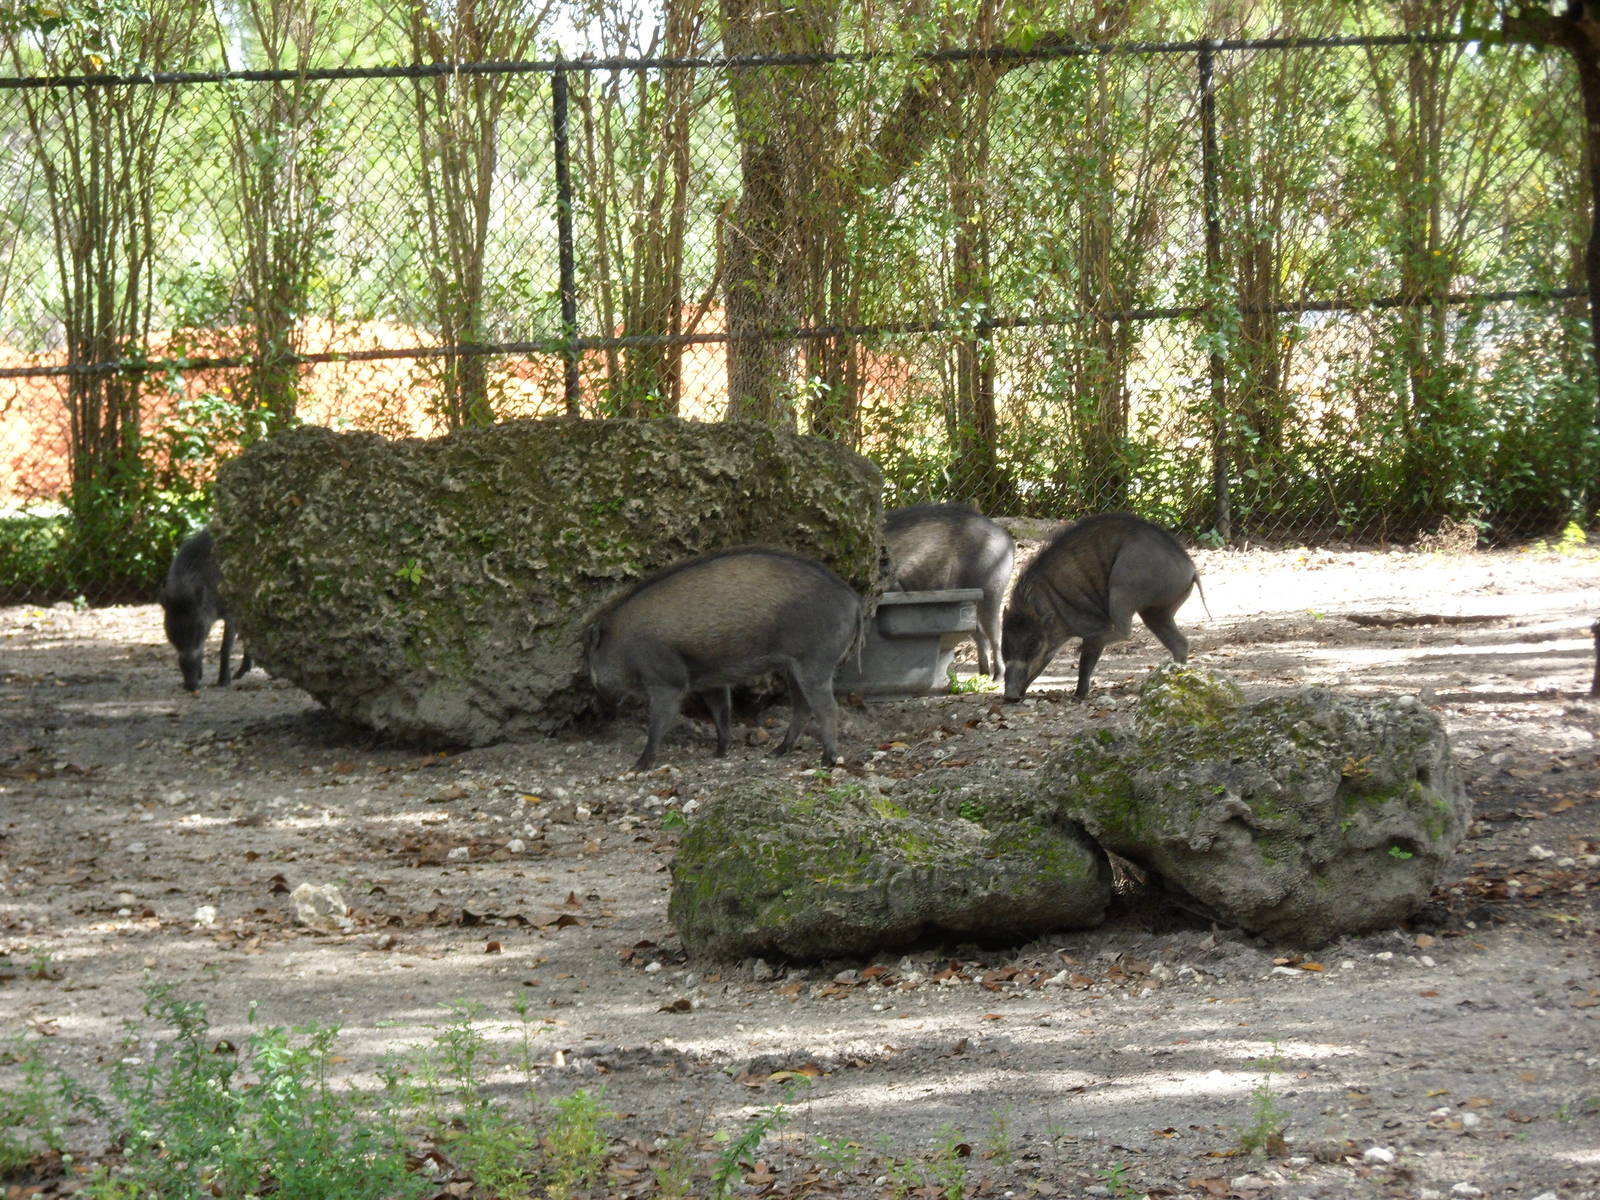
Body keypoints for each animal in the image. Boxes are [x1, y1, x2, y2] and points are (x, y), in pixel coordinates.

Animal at [159, 528, 251, 693]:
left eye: (198, 630)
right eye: (171, 634)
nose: (190, 686)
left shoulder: (230, 614)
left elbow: (225, 648)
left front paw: (223, 682)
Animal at [584, 547, 863, 770]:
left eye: (590, 657)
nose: (596, 709)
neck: (624, 646)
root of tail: (853, 600)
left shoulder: (667, 681)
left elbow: (659, 724)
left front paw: (638, 766)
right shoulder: (712, 681)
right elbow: (722, 711)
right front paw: (719, 752)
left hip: (815, 663)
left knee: (827, 709)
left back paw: (827, 760)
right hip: (793, 669)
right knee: (802, 707)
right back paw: (777, 752)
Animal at [884, 502, 1015, 679]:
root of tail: (1008, 542)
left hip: (991, 591)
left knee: (995, 634)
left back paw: (997, 678)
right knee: (980, 635)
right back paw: (982, 676)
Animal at [1001, 513, 1200, 702]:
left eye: (1033, 644)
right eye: (1005, 644)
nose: (1010, 695)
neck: (1044, 606)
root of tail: (1191, 569)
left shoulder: (1089, 622)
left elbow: (1086, 661)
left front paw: (1078, 695)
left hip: (1122, 590)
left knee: (1123, 632)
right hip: (1157, 611)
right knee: (1180, 643)